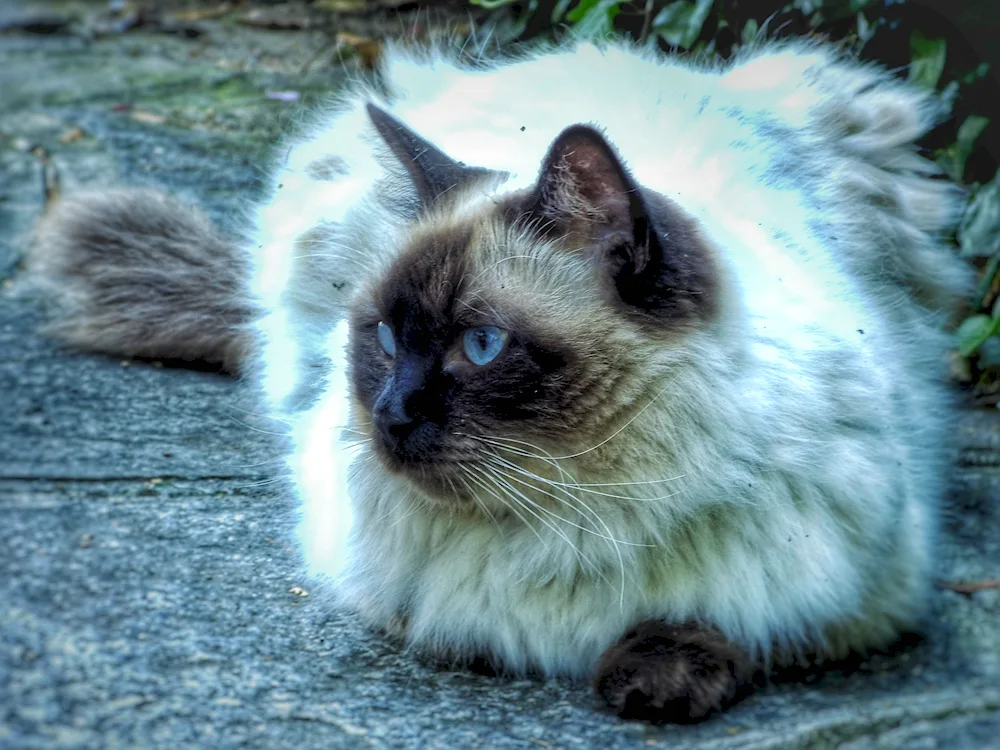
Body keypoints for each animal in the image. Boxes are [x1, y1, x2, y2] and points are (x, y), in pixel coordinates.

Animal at [27, 38, 972, 724]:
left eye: (479, 346)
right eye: (383, 336)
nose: (388, 412)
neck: (580, 508)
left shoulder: (857, 601)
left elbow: (721, 622)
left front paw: (655, 681)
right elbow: (459, 619)